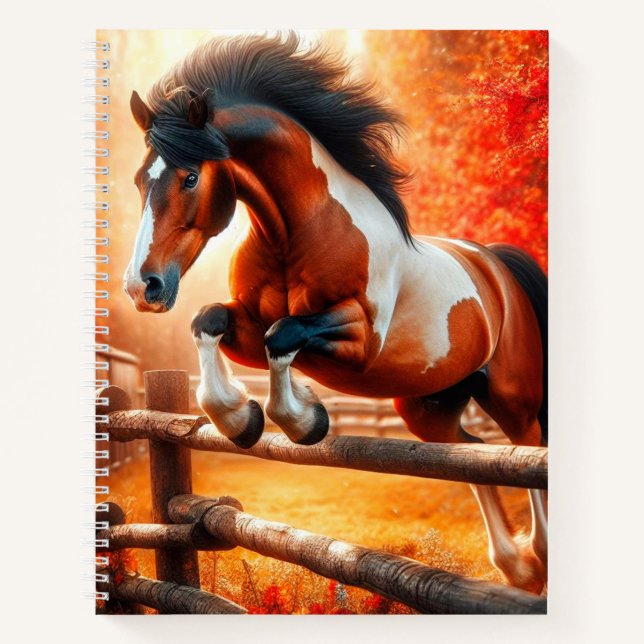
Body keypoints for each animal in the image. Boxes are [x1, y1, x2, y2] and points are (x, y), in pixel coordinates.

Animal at [123, 33, 548, 594]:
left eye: (190, 177)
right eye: (138, 180)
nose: (142, 287)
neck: (297, 230)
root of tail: (496, 263)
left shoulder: (359, 340)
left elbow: (283, 335)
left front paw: (305, 418)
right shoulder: (245, 326)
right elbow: (209, 322)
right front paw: (241, 418)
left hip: (512, 396)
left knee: (527, 452)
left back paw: (536, 560)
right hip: (429, 406)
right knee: (472, 453)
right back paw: (516, 566)